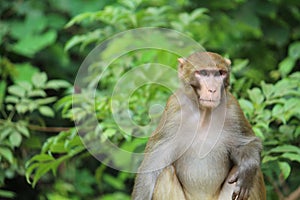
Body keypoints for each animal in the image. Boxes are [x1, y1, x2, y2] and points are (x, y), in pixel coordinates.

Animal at [131, 52, 264, 200]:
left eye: (220, 73)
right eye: (203, 73)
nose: (213, 89)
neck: (204, 114)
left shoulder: (233, 108)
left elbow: (249, 143)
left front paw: (247, 169)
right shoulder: (173, 111)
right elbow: (151, 167)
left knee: (254, 171)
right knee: (165, 172)